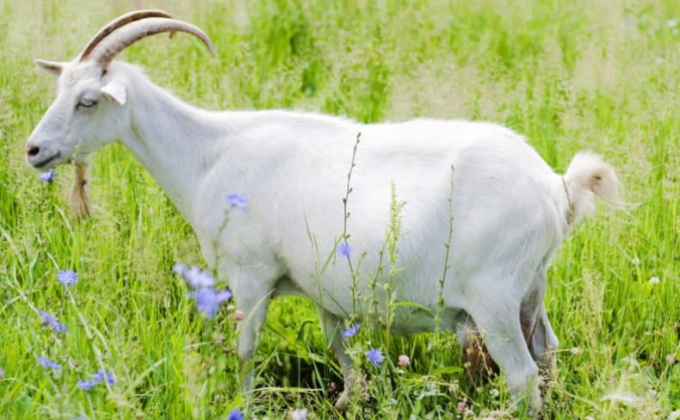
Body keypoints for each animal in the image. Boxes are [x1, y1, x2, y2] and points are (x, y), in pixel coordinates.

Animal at [25, 10, 620, 414]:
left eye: (87, 101)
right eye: (60, 89)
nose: (33, 150)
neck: (208, 153)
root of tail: (557, 187)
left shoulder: (251, 275)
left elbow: (244, 351)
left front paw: (244, 405)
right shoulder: (326, 290)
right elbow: (345, 359)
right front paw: (347, 404)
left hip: (493, 298)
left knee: (521, 374)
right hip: (531, 289)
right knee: (548, 354)